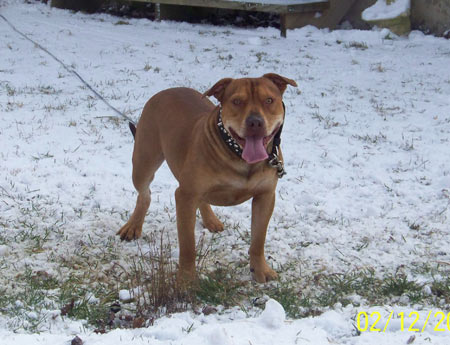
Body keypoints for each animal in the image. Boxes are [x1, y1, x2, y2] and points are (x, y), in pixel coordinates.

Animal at [118, 73, 298, 282]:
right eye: (237, 101)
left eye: (269, 100)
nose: (255, 122)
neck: (239, 156)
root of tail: (166, 91)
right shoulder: (186, 196)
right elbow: (188, 245)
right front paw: (187, 279)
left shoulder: (265, 196)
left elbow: (258, 239)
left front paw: (260, 270)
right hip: (143, 162)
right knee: (144, 194)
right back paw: (133, 226)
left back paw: (211, 220)